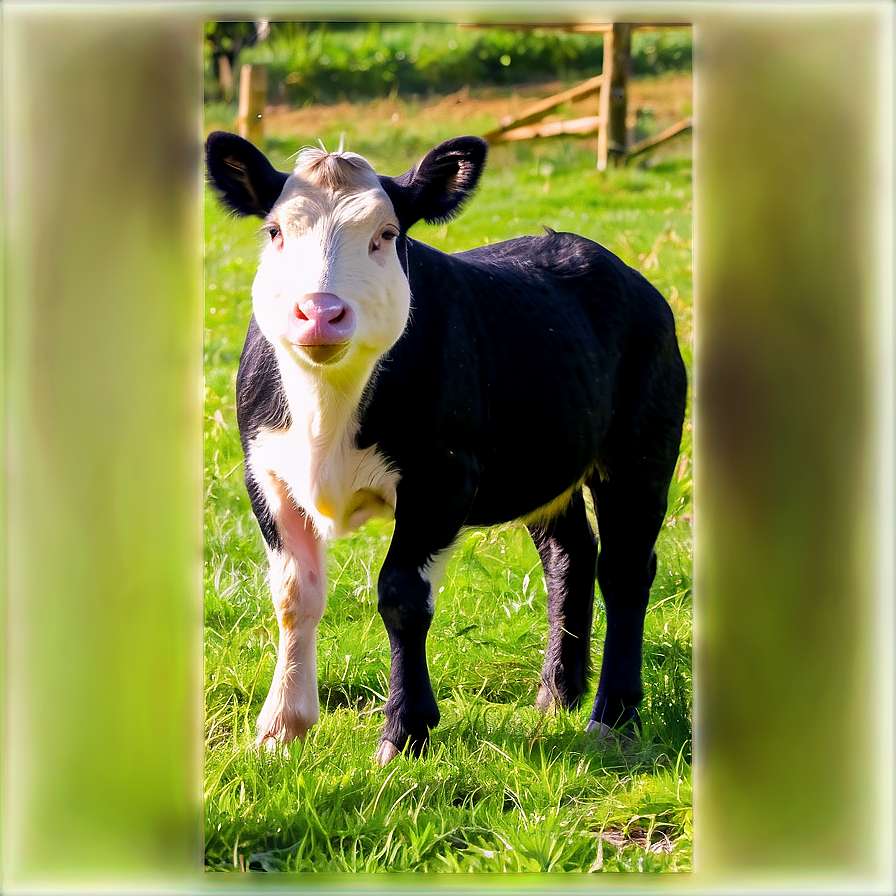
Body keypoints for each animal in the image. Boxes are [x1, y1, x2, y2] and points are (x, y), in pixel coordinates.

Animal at [205, 131, 687, 765]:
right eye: (276, 232)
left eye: (387, 234)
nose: (321, 312)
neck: (325, 415)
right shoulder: (266, 474)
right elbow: (294, 594)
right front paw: (282, 725)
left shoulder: (442, 479)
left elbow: (402, 595)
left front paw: (404, 730)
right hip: (545, 463)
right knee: (571, 556)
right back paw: (557, 694)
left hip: (641, 452)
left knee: (626, 568)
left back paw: (614, 715)